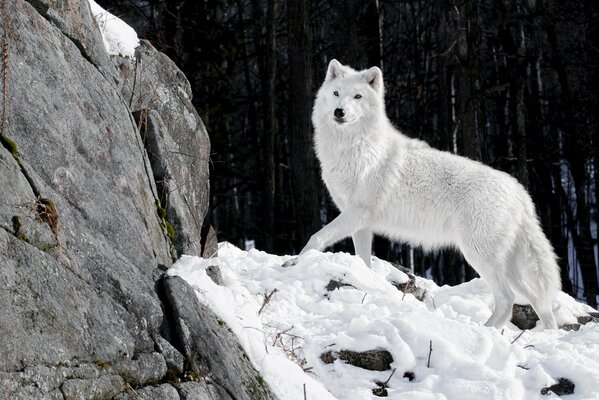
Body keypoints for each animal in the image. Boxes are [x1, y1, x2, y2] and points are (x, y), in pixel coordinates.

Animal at [296, 58, 564, 328]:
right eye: (336, 93)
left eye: (357, 96)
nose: (339, 112)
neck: (354, 148)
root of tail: (519, 191)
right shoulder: (361, 224)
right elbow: (363, 260)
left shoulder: (357, 213)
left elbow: (316, 237)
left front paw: (296, 262)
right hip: (507, 266)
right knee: (539, 301)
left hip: (479, 255)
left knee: (507, 300)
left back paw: (484, 330)